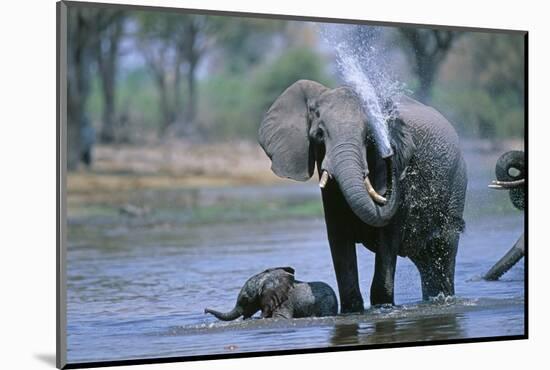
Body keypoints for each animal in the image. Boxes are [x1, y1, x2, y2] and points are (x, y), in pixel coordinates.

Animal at [260, 80, 468, 312]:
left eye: (369, 137)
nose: (390, 154)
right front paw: (352, 310)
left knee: (443, 250)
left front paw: (383, 307)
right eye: (319, 135)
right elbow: (338, 238)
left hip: (456, 185)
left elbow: (388, 237)